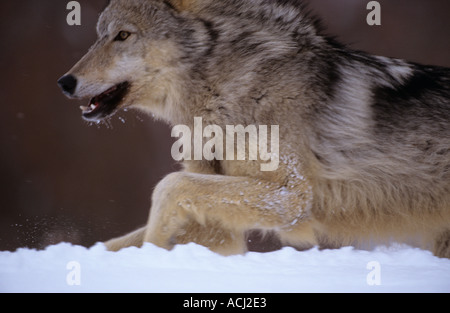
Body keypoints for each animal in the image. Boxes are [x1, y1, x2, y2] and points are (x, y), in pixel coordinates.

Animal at [57, 0, 450, 258]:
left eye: (123, 35)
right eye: (100, 36)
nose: (64, 82)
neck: (226, 91)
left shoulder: (292, 196)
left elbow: (169, 187)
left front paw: (151, 256)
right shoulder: (219, 220)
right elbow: (117, 241)